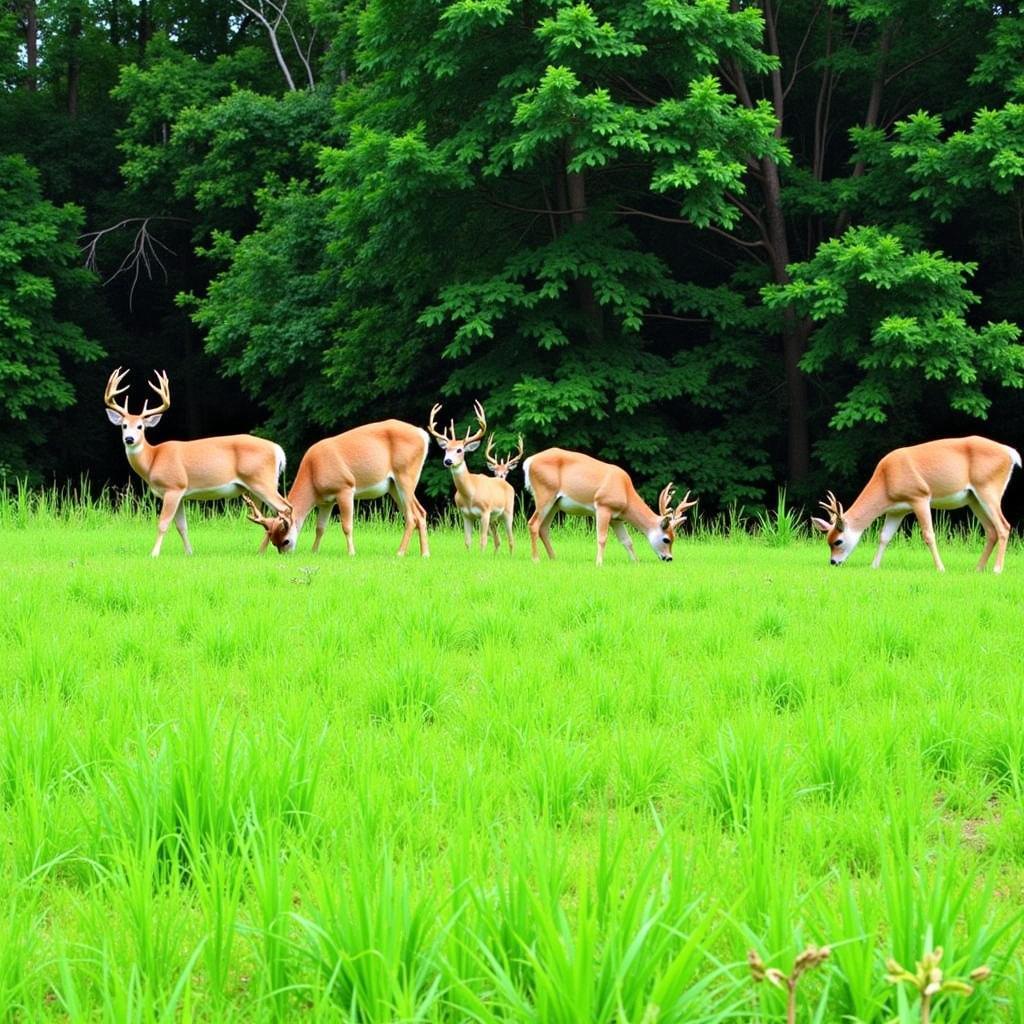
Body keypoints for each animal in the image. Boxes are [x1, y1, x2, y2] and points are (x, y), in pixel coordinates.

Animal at [103, 368, 290, 557]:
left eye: (140, 426)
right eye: (124, 425)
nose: (129, 439)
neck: (153, 459)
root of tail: (278, 450)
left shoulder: (174, 486)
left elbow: (163, 524)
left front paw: (154, 554)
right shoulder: (180, 494)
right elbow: (182, 527)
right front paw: (189, 553)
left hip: (261, 481)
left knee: (285, 508)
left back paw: (285, 546)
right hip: (257, 487)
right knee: (269, 515)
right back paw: (261, 551)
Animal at [241, 419, 430, 557]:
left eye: (285, 540)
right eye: (274, 542)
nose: (285, 554)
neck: (313, 474)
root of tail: (423, 435)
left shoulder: (345, 488)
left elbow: (346, 525)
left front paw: (352, 553)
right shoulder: (326, 501)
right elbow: (320, 528)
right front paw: (314, 551)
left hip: (405, 475)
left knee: (412, 516)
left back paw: (400, 552)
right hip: (394, 486)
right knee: (420, 512)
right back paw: (425, 553)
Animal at [425, 403, 516, 557]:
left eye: (460, 450)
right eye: (446, 449)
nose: (448, 461)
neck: (470, 494)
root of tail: (507, 484)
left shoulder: (485, 512)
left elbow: (483, 540)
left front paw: (482, 557)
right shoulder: (465, 514)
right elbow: (467, 541)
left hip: (508, 511)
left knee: (510, 539)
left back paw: (510, 556)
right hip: (494, 519)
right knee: (498, 540)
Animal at [520, 446, 696, 565]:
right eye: (667, 539)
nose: (669, 558)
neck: (625, 493)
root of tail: (529, 462)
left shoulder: (617, 518)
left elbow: (627, 540)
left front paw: (636, 561)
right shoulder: (603, 506)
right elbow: (602, 538)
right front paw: (599, 563)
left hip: (555, 504)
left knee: (544, 528)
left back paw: (554, 558)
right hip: (544, 493)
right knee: (533, 524)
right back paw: (536, 559)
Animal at [811, 436, 1019, 573]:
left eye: (837, 541)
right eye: (827, 540)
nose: (833, 562)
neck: (886, 481)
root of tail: (1011, 454)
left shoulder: (919, 496)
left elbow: (928, 535)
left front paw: (940, 568)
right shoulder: (897, 510)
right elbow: (884, 537)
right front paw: (874, 566)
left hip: (989, 489)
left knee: (1003, 526)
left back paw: (997, 569)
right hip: (974, 498)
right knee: (991, 530)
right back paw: (978, 568)